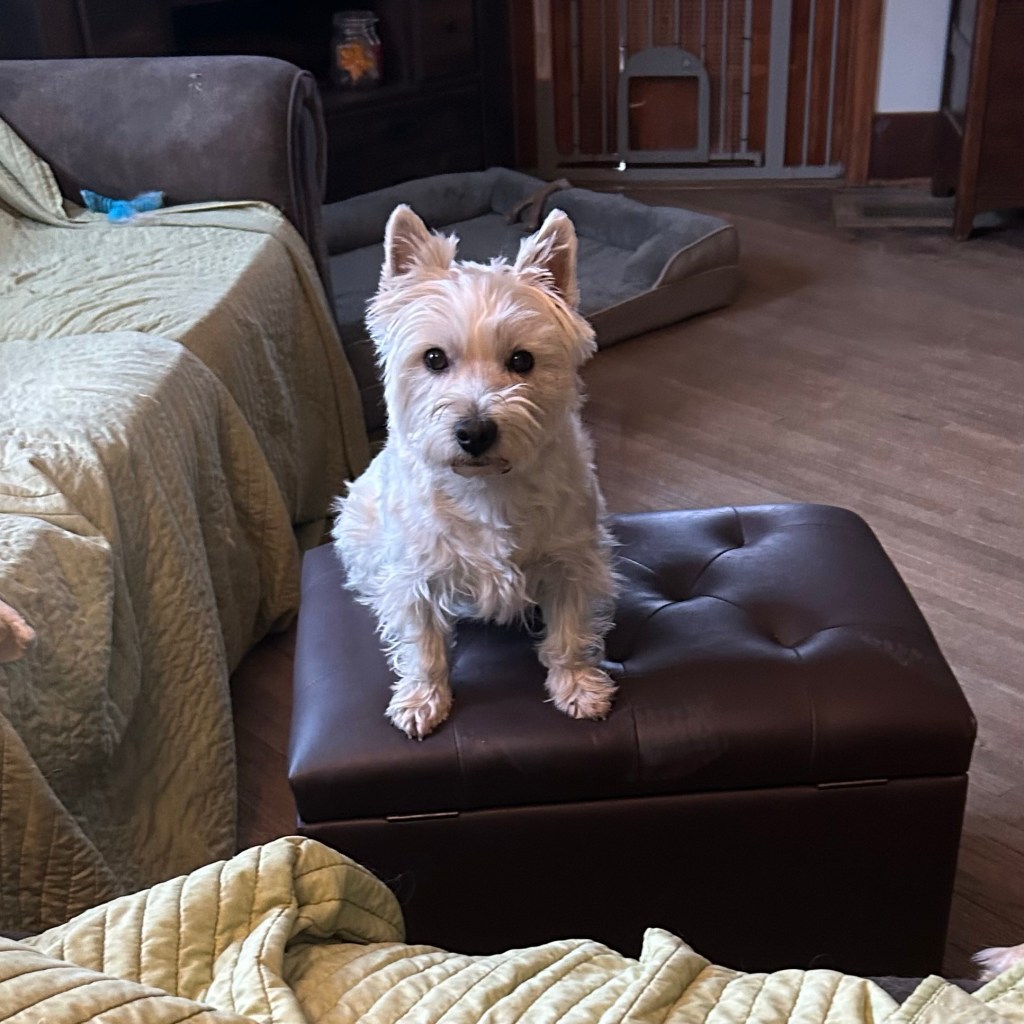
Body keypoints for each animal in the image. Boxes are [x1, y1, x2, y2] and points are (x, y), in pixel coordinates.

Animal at [331, 203, 617, 739]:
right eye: (434, 358)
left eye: (522, 360)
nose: (475, 432)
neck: (486, 487)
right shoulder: (416, 574)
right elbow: (422, 643)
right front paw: (422, 699)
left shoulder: (571, 559)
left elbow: (569, 630)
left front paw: (577, 685)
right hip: (355, 522)